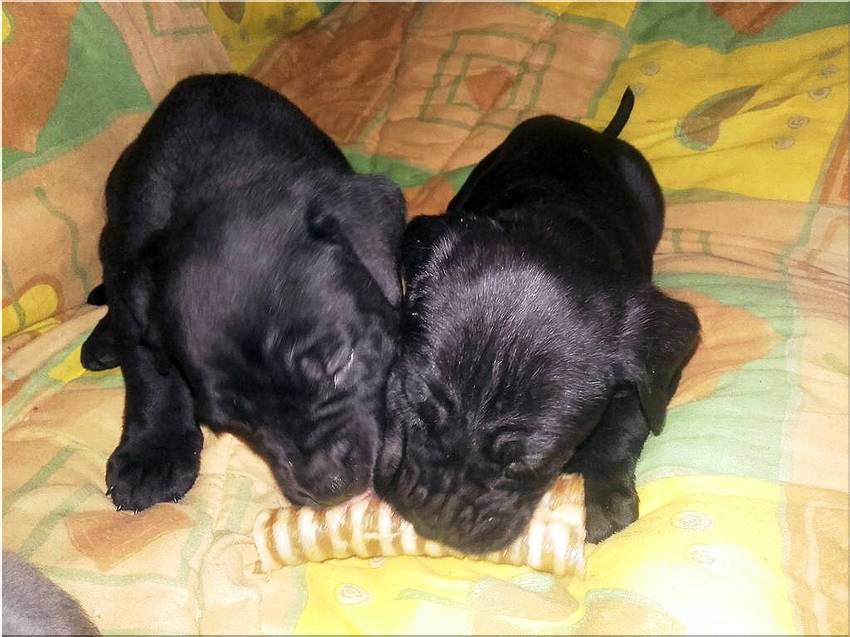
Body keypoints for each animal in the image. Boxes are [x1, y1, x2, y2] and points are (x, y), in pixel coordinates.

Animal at [81, 74, 405, 512]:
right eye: (235, 419)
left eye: (340, 363)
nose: (328, 485)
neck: (222, 177)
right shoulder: (127, 275)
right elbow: (150, 369)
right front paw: (154, 450)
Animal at [375, 88, 700, 553]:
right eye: (418, 412)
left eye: (526, 465)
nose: (431, 521)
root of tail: (595, 134)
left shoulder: (652, 368)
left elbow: (624, 426)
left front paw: (606, 501)